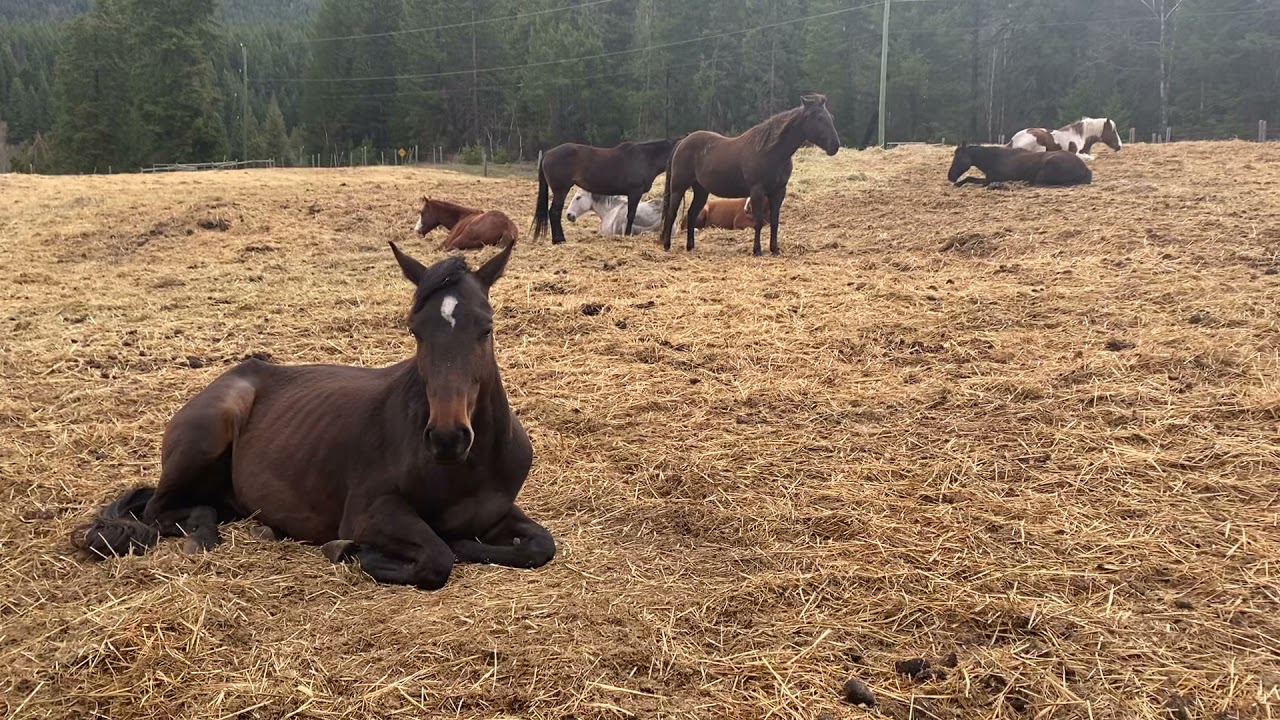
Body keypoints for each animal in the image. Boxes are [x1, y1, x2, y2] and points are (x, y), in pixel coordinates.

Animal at [70, 241, 556, 591]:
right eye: (416, 330)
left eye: (486, 328)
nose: (447, 437)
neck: (464, 470)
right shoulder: (369, 513)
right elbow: (436, 557)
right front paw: (352, 551)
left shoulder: (498, 512)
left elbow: (540, 546)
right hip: (209, 432)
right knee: (157, 509)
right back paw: (204, 532)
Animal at [532, 138, 678, 244]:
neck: (645, 158)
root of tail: (548, 153)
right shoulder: (634, 193)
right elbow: (630, 215)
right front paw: (626, 235)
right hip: (561, 190)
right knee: (554, 212)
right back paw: (559, 240)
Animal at [658, 94, 840, 256]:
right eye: (819, 118)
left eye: (831, 117)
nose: (835, 145)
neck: (770, 151)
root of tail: (682, 142)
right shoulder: (757, 191)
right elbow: (758, 222)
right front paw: (757, 250)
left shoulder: (778, 192)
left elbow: (774, 222)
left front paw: (775, 249)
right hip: (678, 188)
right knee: (672, 213)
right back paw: (667, 245)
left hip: (701, 190)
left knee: (691, 214)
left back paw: (690, 247)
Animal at [948, 143, 1092, 187]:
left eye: (958, 158)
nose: (950, 177)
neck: (995, 159)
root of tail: (1085, 168)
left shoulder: (988, 180)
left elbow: (970, 178)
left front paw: (958, 184)